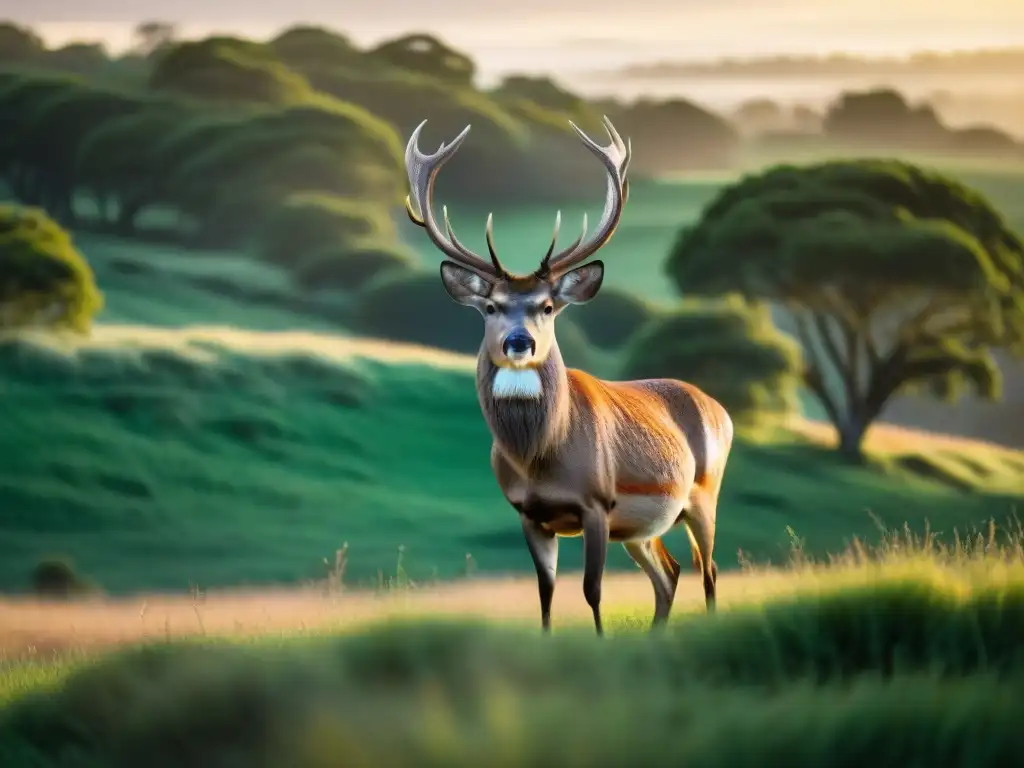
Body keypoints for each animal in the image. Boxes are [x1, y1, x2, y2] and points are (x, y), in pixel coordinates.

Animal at [403, 115, 733, 638]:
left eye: (547, 306)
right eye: (491, 307)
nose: (519, 342)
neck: (541, 458)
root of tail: (720, 408)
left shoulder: (596, 503)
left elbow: (592, 590)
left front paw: (600, 641)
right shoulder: (528, 513)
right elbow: (546, 592)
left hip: (704, 490)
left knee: (709, 569)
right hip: (642, 528)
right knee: (671, 573)